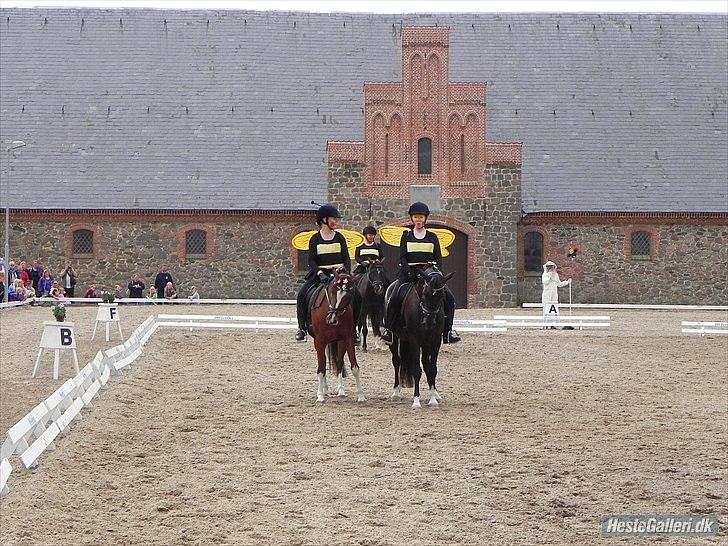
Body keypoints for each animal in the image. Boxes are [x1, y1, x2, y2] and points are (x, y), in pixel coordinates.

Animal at [306, 266, 366, 402]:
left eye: (348, 295)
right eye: (333, 291)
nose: (332, 319)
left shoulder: (347, 339)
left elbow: (354, 367)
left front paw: (360, 396)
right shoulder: (319, 341)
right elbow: (321, 368)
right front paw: (320, 396)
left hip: (339, 342)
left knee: (338, 363)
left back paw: (341, 391)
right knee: (323, 364)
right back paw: (324, 390)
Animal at [386, 266, 456, 406]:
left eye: (442, 296)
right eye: (425, 293)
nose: (428, 322)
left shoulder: (435, 340)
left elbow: (432, 368)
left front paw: (433, 399)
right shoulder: (415, 340)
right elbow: (416, 370)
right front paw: (416, 401)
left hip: (425, 342)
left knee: (425, 364)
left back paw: (435, 393)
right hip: (395, 339)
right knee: (397, 362)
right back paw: (396, 392)